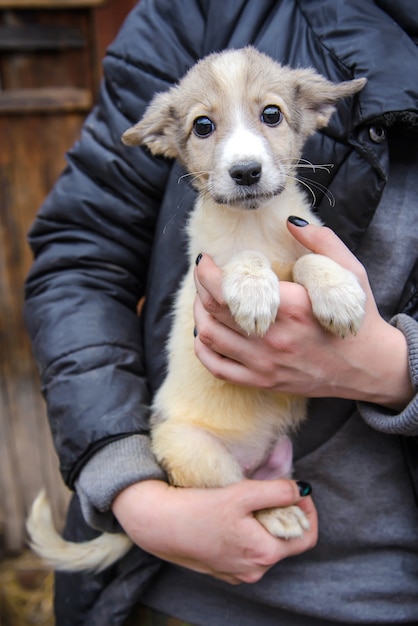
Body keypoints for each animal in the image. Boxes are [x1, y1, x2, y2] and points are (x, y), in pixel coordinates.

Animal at [27, 46, 366, 568]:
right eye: (203, 126)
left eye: (272, 114)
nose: (245, 172)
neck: (256, 225)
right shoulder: (209, 265)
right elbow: (241, 259)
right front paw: (253, 289)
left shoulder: (304, 235)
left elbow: (308, 257)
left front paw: (338, 291)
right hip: (198, 454)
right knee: (238, 492)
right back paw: (276, 513)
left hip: (275, 457)